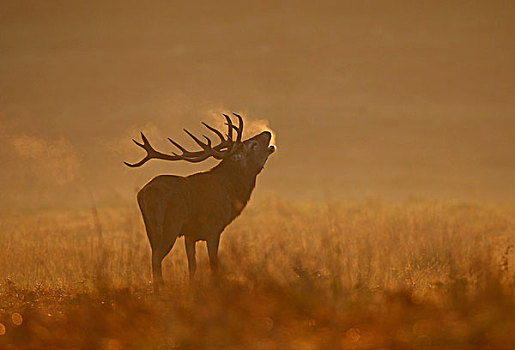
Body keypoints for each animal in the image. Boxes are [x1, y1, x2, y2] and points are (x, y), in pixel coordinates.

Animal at [124, 113, 276, 292]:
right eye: (252, 145)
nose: (267, 133)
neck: (231, 193)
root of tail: (146, 193)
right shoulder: (214, 229)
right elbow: (213, 264)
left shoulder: (190, 235)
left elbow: (192, 265)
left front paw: (192, 289)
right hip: (171, 225)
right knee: (157, 258)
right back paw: (160, 289)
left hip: (151, 228)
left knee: (154, 256)